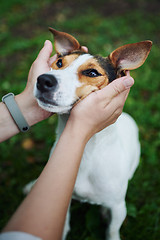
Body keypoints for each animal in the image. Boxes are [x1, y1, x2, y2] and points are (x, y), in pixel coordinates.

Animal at [28, 28, 152, 240]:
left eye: (92, 73)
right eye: (59, 63)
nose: (44, 80)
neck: (86, 150)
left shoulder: (119, 207)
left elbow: (112, 230)